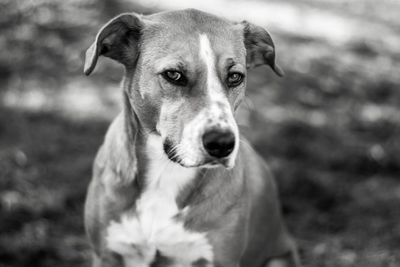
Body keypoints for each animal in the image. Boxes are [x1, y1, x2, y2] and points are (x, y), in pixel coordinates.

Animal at [83, 8, 300, 267]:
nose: (222, 144)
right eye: (174, 75)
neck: (165, 174)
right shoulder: (106, 255)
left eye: (235, 77)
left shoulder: (220, 260)